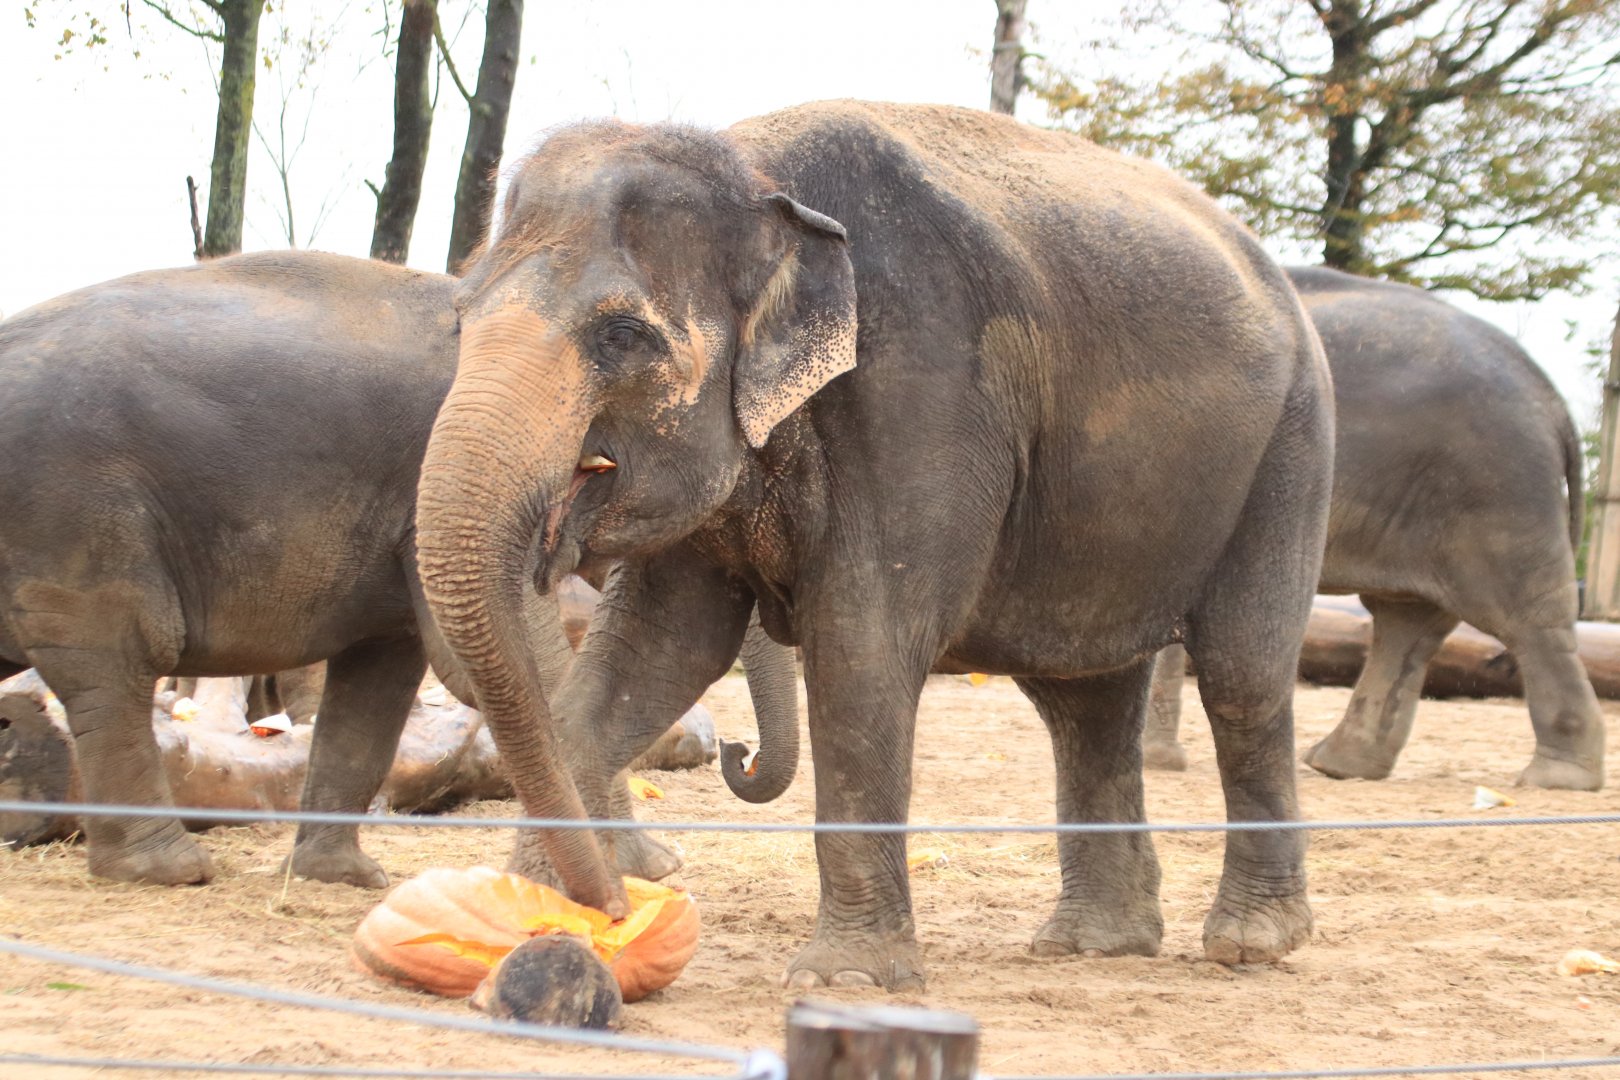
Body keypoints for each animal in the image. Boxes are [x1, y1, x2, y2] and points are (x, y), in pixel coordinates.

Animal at [0, 251, 797, 892]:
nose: (738, 751)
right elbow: (506, 673)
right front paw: (645, 868)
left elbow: (380, 678)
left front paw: (342, 878)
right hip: (76, 514)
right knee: (115, 664)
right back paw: (170, 871)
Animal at [411, 101, 1335, 988]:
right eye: (460, 318)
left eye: (621, 336)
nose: (610, 905)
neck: (757, 176)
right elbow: (652, 653)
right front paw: (537, 925)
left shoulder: (922, 389)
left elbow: (862, 650)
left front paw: (847, 978)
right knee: (1085, 700)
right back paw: (1094, 945)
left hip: (1289, 454)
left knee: (1243, 674)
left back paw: (1251, 944)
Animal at [1142, 266, 1601, 791]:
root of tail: (1550, 395)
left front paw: (1156, 762)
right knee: (1408, 623)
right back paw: (1339, 764)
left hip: (1498, 488)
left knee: (1524, 618)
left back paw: (1557, 778)